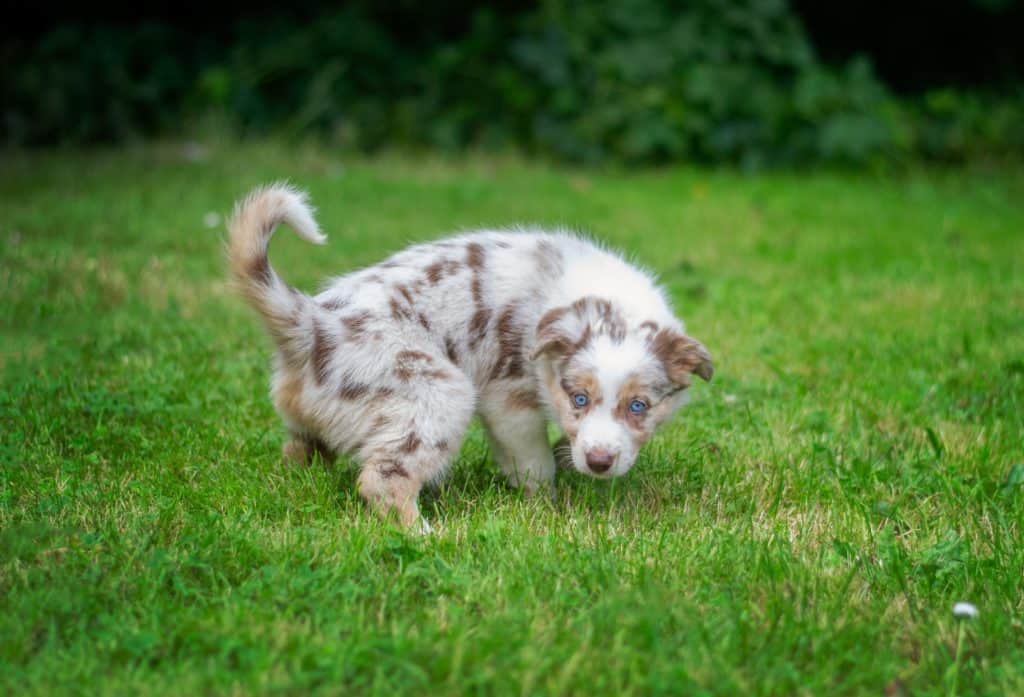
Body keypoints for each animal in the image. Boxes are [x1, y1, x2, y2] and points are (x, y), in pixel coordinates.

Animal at [227, 182, 708, 528]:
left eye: (639, 406)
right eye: (579, 399)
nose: (599, 464)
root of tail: (311, 322)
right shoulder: (508, 399)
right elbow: (532, 463)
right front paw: (548, 508)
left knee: (299, 451)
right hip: (439, 395)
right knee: (384, 479)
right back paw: (426, 534)